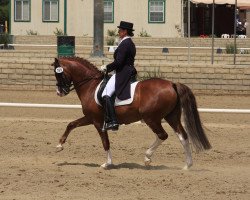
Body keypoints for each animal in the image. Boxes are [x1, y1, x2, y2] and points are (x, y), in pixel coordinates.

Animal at [52, 57, 211, 170]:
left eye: (58, 74)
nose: (59, 92)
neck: (90, 85)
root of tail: (172, 84)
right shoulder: (90, 118)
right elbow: (71, 124)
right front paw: (59, 145)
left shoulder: (97, 121)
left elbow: (105, 142)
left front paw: (107, 163)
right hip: (171, 116)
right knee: (182, 136)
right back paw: (187, 166)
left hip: (151, 118)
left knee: (162, 135)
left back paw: (147, 157)